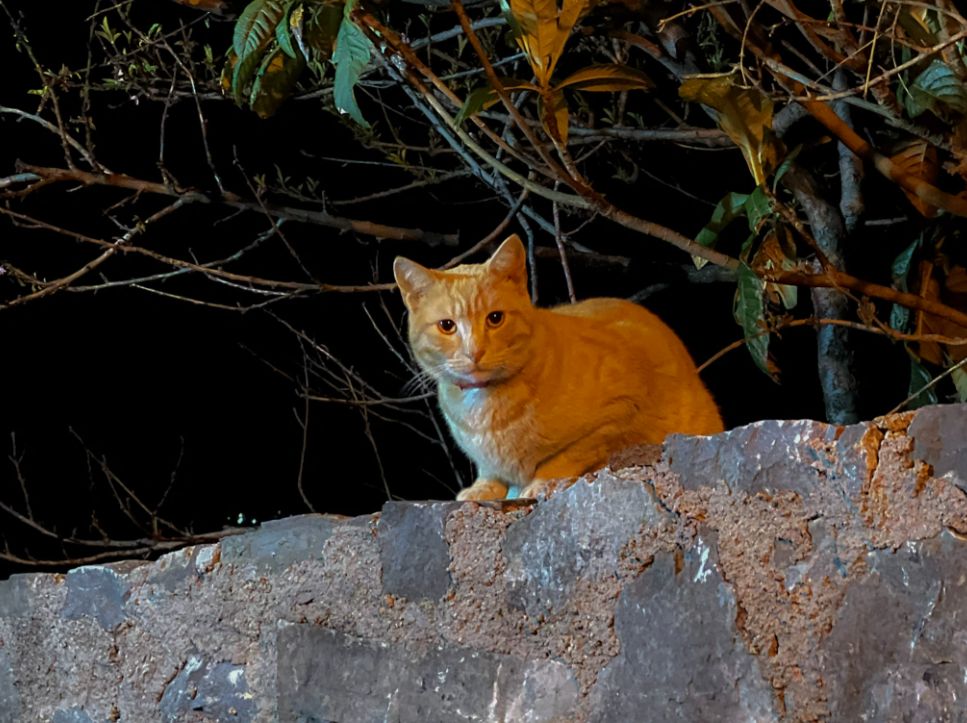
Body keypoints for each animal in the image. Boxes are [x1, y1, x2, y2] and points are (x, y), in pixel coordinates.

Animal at [393, 234, 724, 501]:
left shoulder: (620, 410)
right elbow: (490, 470)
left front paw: (541, 482)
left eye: (495, 318)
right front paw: (483, 486)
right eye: (447, 326)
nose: (474, 351)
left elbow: (566, 456)